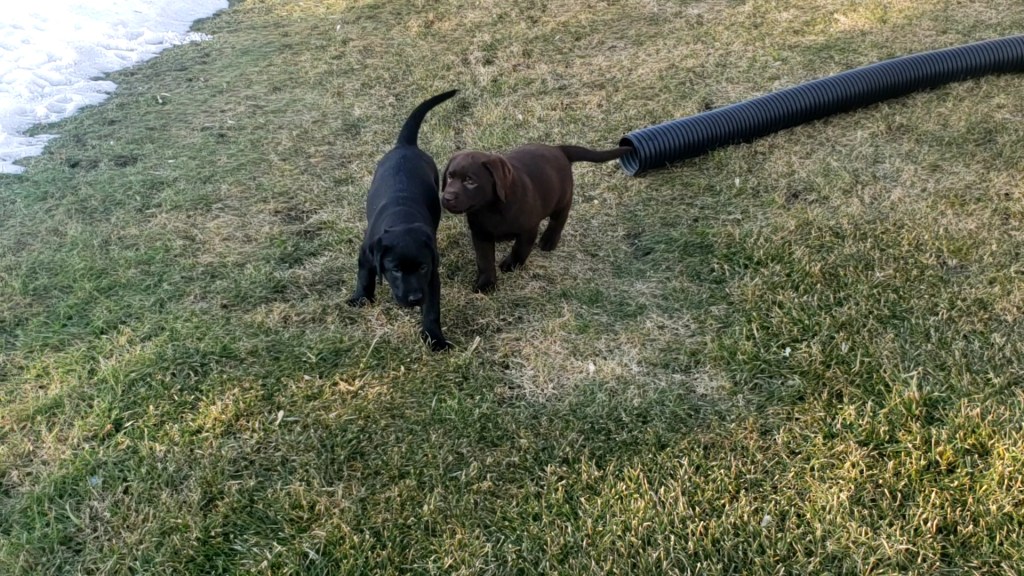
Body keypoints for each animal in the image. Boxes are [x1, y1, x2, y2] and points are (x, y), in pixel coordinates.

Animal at [347, 89, 458, 352]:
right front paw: (361, 299)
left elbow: (432, 310)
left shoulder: (431, 278)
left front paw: (435, 339)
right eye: (395, 269)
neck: (401, 221)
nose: (415, 298)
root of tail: (406, 145)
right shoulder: (365, 253)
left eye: (422, 267)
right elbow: (364, 276)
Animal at [440, 144, 632, 293]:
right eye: (449, 176)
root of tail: (558, 149)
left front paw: (512, 265)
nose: (447, 197)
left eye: (470, 181)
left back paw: (549, 240)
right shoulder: (481, 234)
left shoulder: (528, 229)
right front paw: (486, 284)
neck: (490, 209)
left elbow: (520, 249)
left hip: (562, 199)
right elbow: (484, 260)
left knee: (559, 220)